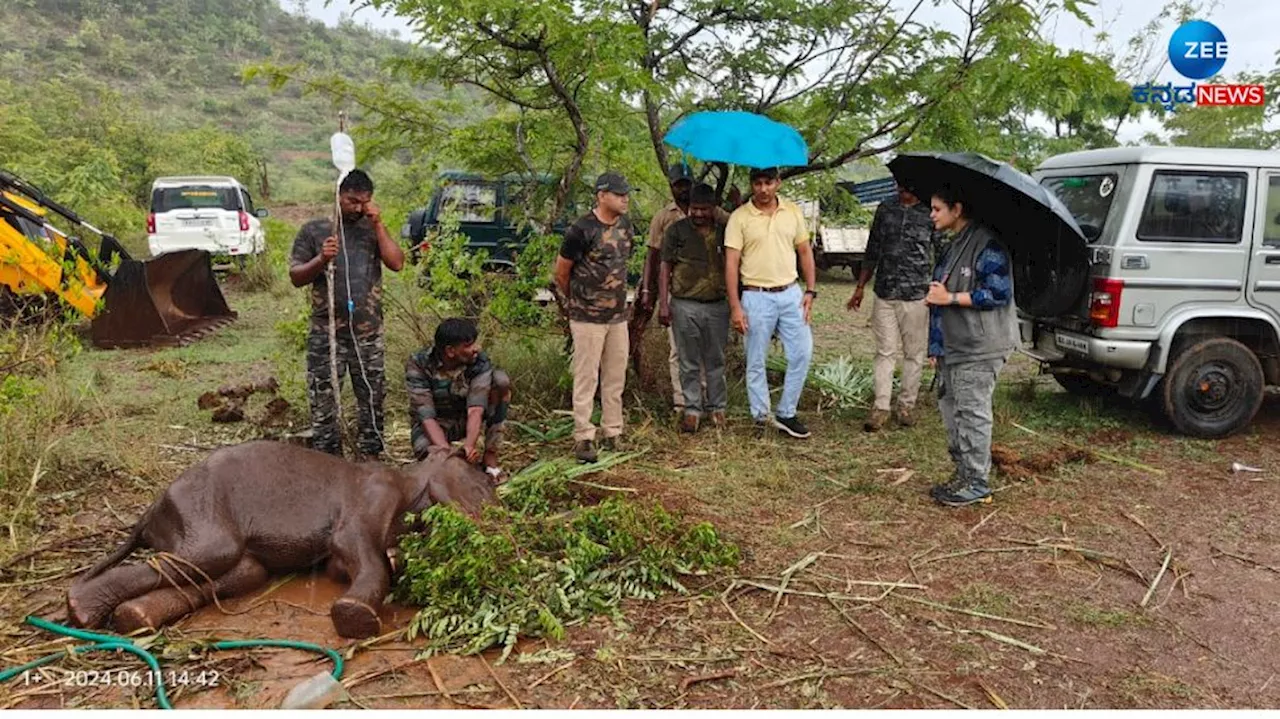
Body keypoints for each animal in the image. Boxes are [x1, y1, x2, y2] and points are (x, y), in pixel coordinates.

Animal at [64, 440, 496, 634]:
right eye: (482, 485)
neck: (410, 478)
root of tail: (151, 509)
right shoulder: (373, 496)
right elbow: (354, 549)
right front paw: (356, 618)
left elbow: (343, 565)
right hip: (202, 514)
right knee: (207, 558)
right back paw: (82, 610)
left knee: (241, 573)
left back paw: (132, 619)